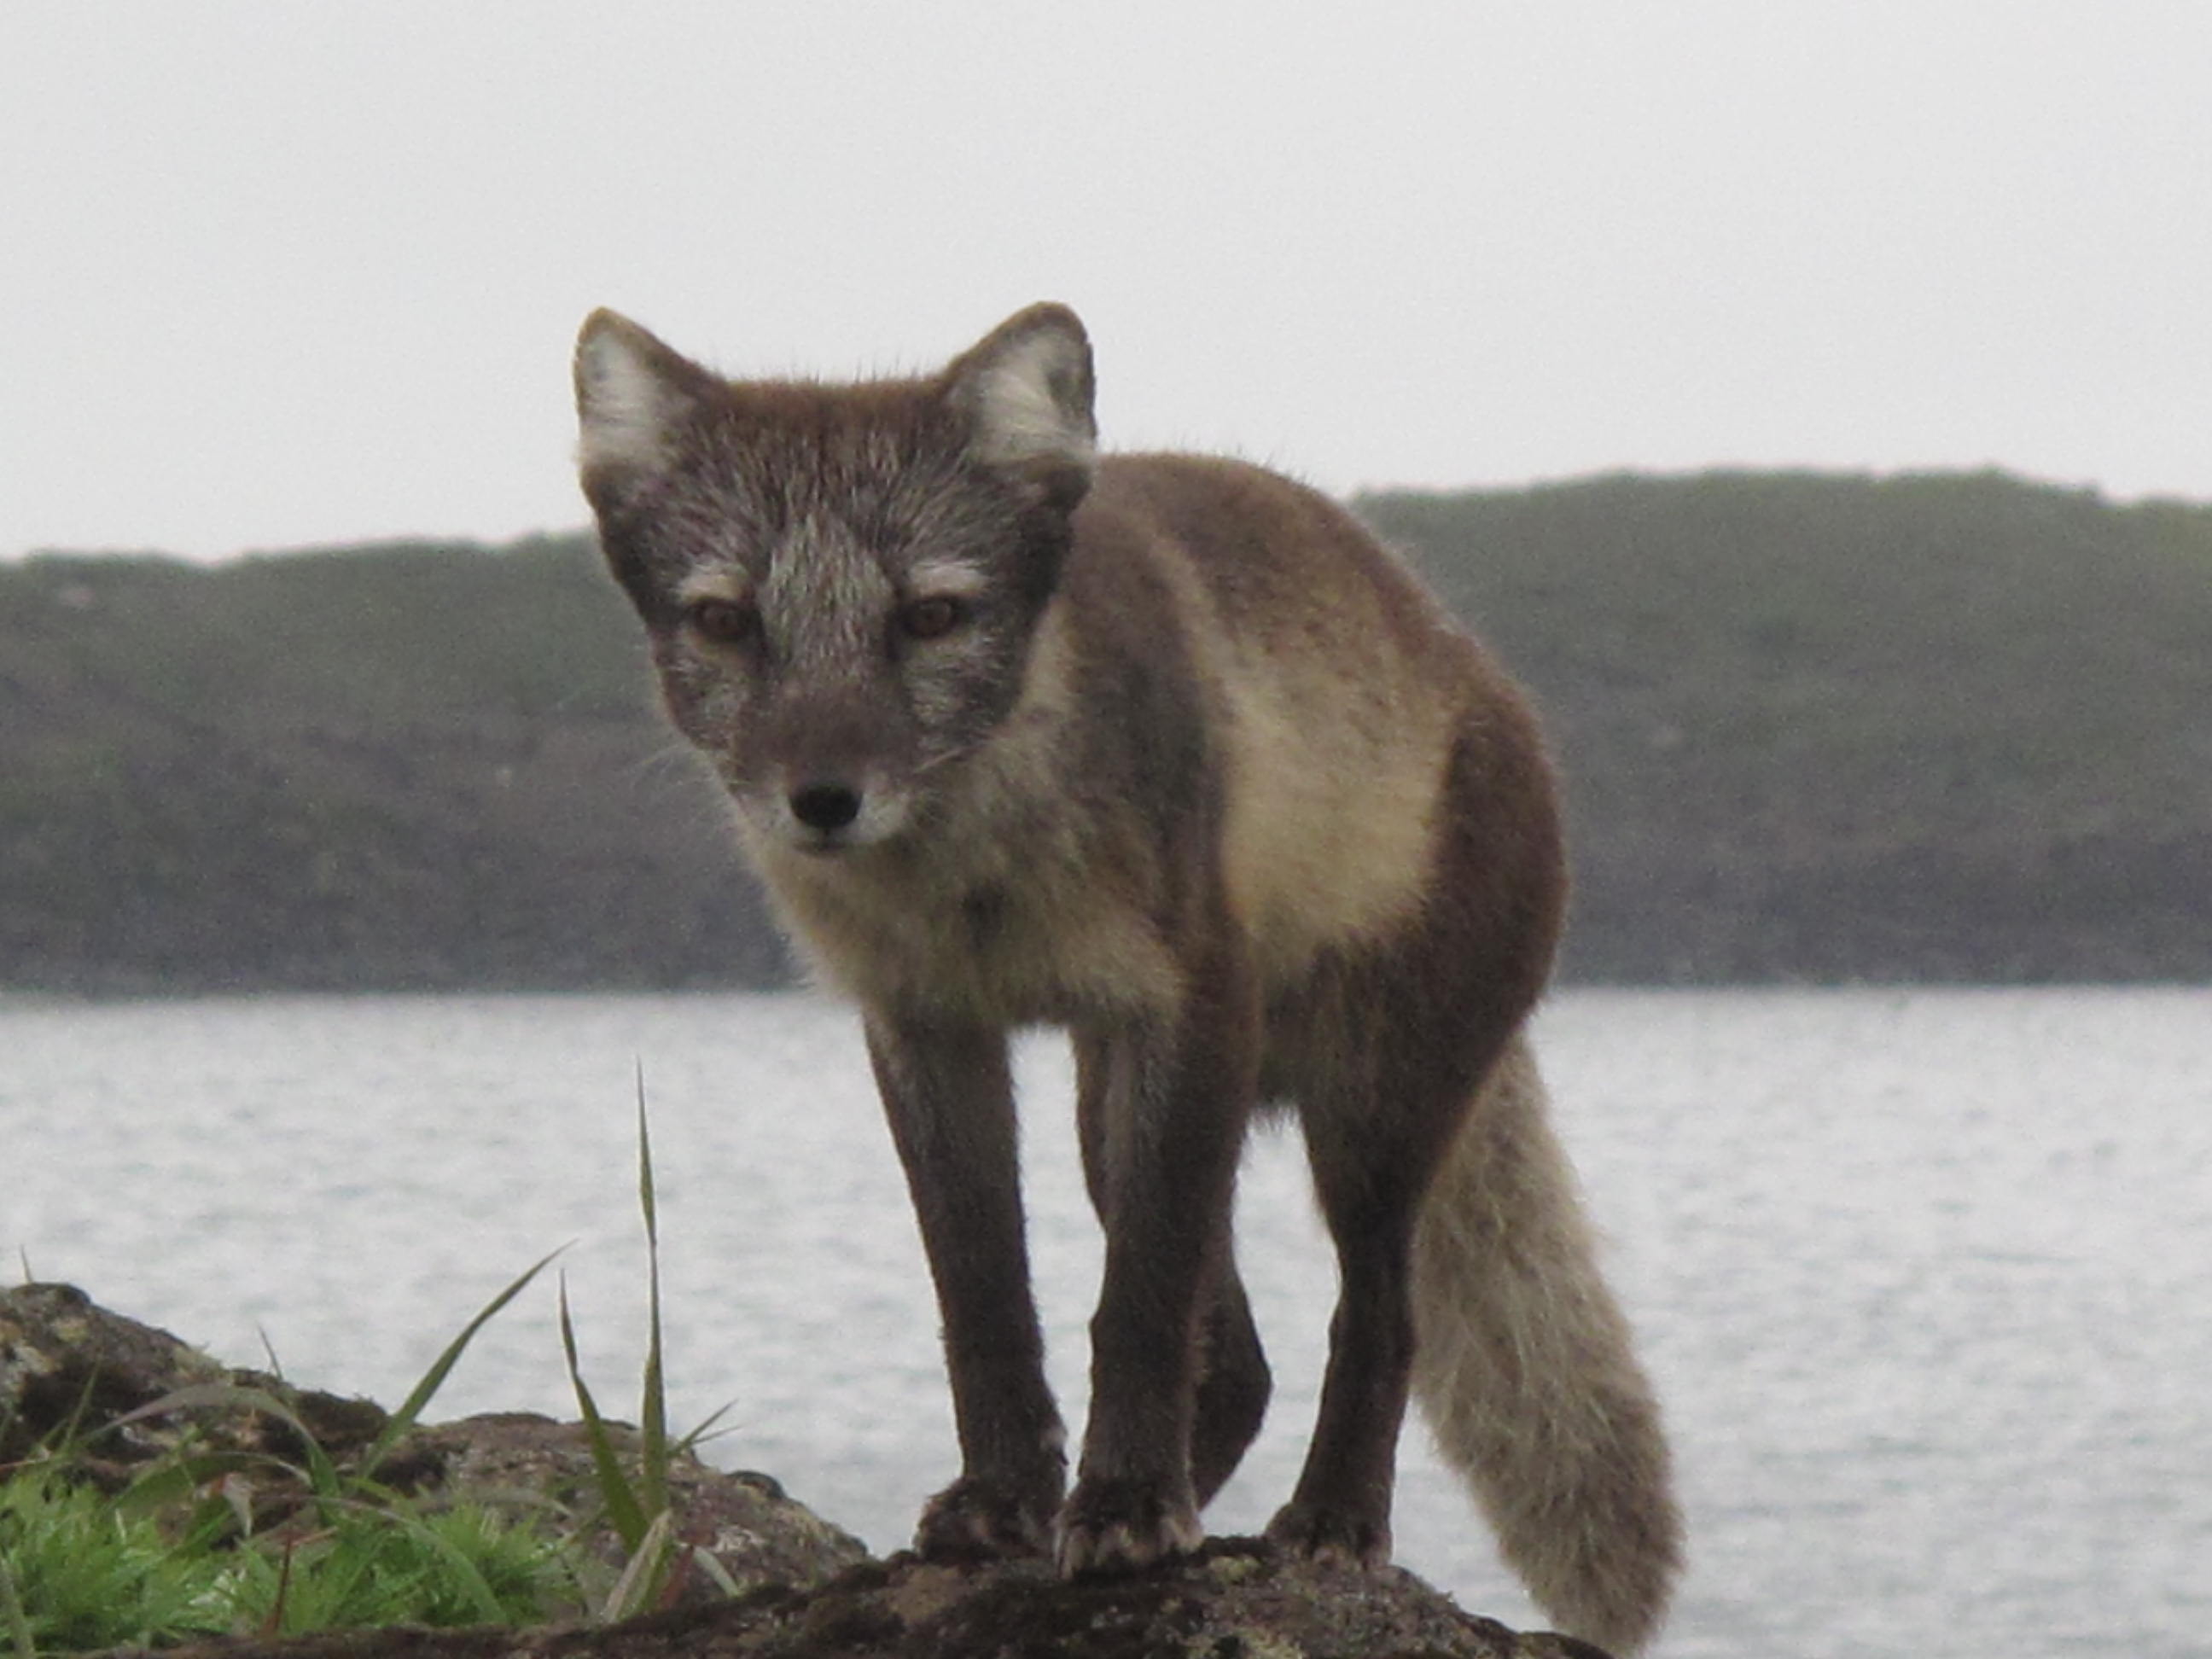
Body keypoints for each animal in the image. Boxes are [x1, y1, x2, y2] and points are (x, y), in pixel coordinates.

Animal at [572, 303, 1682, 1652]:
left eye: (932, 617)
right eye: (728, 621)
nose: (823, 801)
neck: (980, 882)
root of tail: (1476, 668)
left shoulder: (1189, 1007)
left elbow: (1139, 1301)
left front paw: (1127, 1510)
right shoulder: (924, 1030)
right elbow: (984, 1290)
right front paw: (1011, 1502)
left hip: (1362, 1114)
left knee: (1379, 1317)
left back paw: (1327, 1523)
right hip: (1115, 1110)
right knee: (1243, 1367)